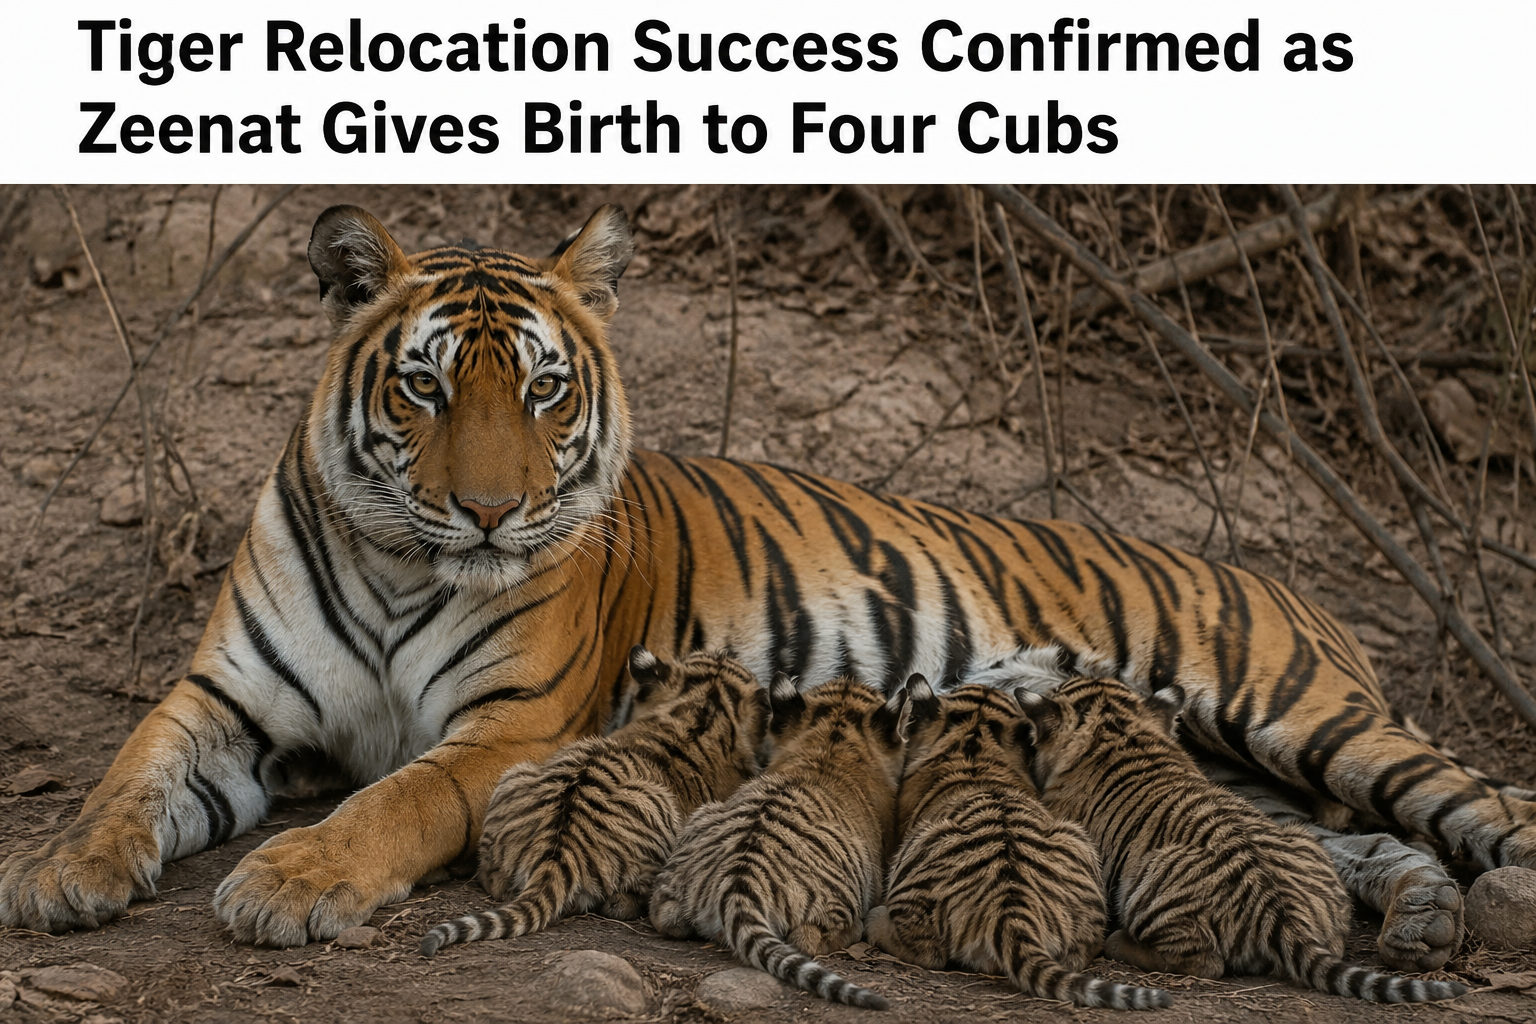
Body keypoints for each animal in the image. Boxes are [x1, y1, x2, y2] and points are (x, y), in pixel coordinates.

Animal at [417, 645, 768, 957]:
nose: (731, 649)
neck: (698, 712)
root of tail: (557, 854)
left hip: (514, 774)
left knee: (493, 877)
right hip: (660, 808)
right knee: (622, 900)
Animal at [865, 681, 1172, 1011]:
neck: (973, 743)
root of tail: (1010, 908)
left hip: (915, 858)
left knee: (927, 952)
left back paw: (875, 921)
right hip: (1077, 840)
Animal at [1015, 677, 1467, 1003]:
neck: (1118, 731)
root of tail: (1284, 917)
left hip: (1151, 877)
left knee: (1206, 962)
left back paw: (1119, 942)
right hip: (1304, 842)